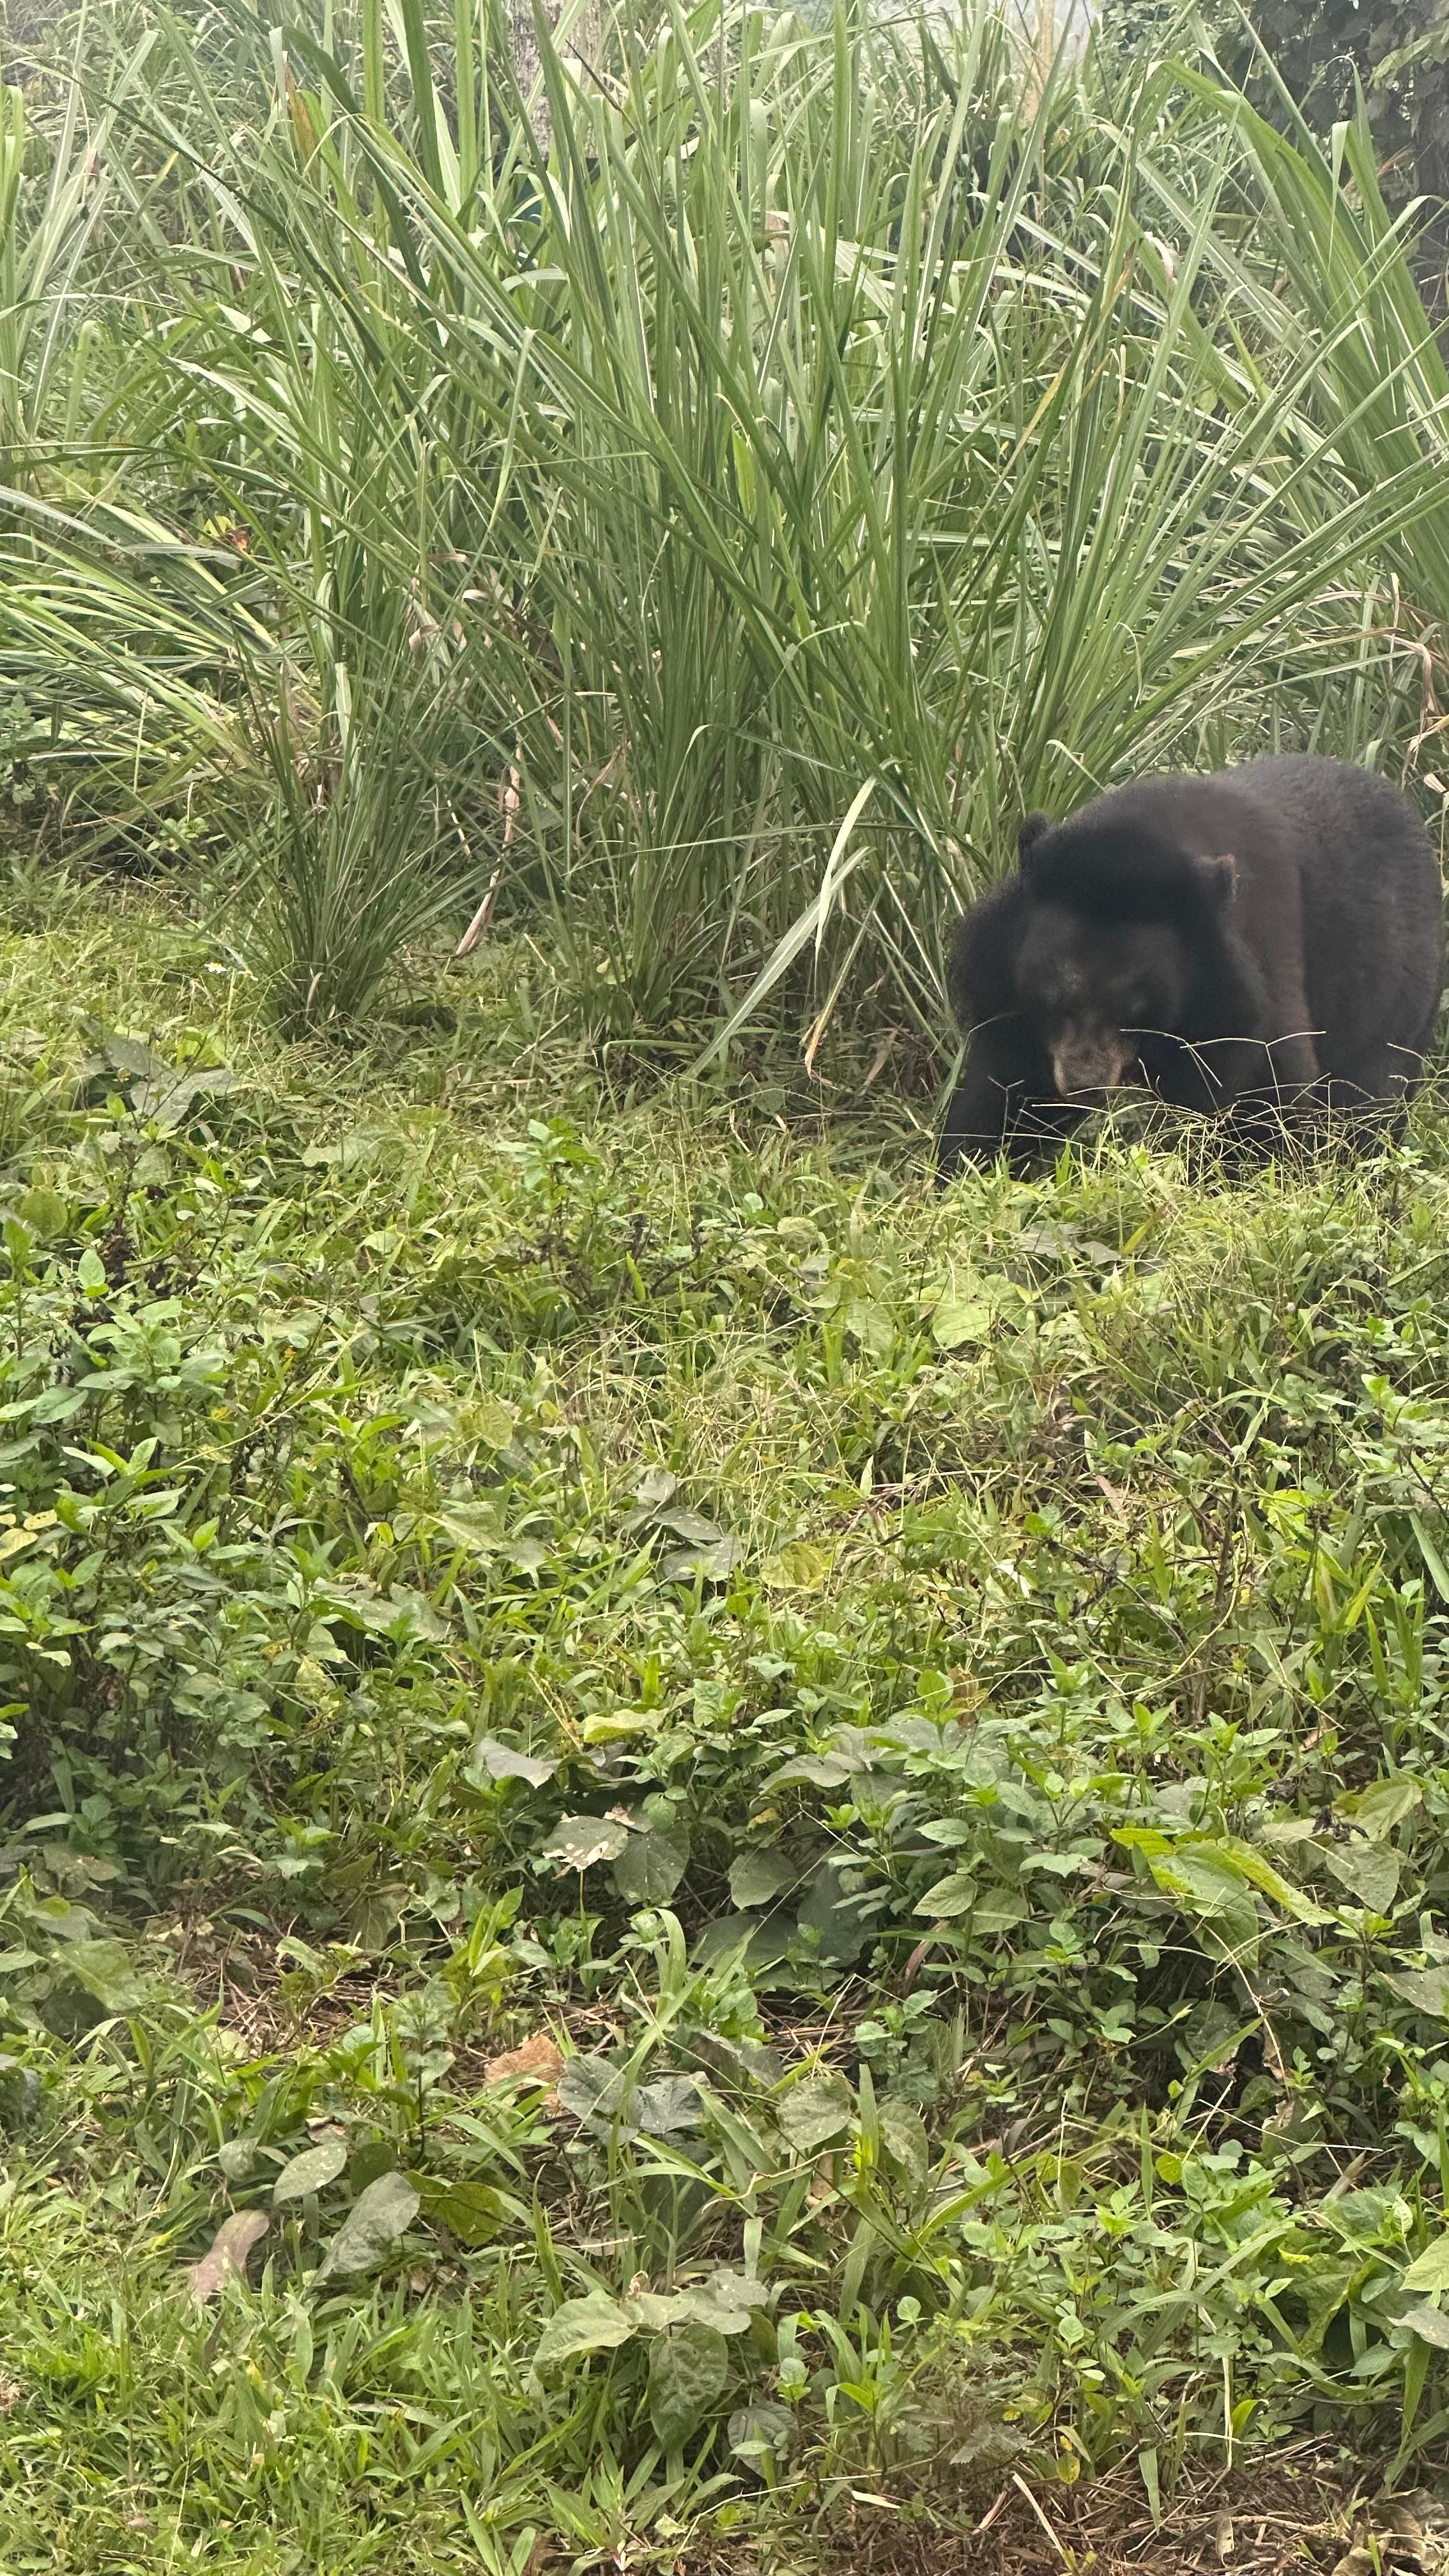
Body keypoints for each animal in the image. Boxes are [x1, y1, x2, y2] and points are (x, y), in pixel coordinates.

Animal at [939, 754, 1444, 1174]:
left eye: (1133, 1008)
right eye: (1054, 996)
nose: (1083, 1083)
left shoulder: (1242, 984)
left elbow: (1264, 1097)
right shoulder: (1007, 990)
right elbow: (1005, 1089)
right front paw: (967, 1167)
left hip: (1394, 998)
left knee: (1369, 1098)